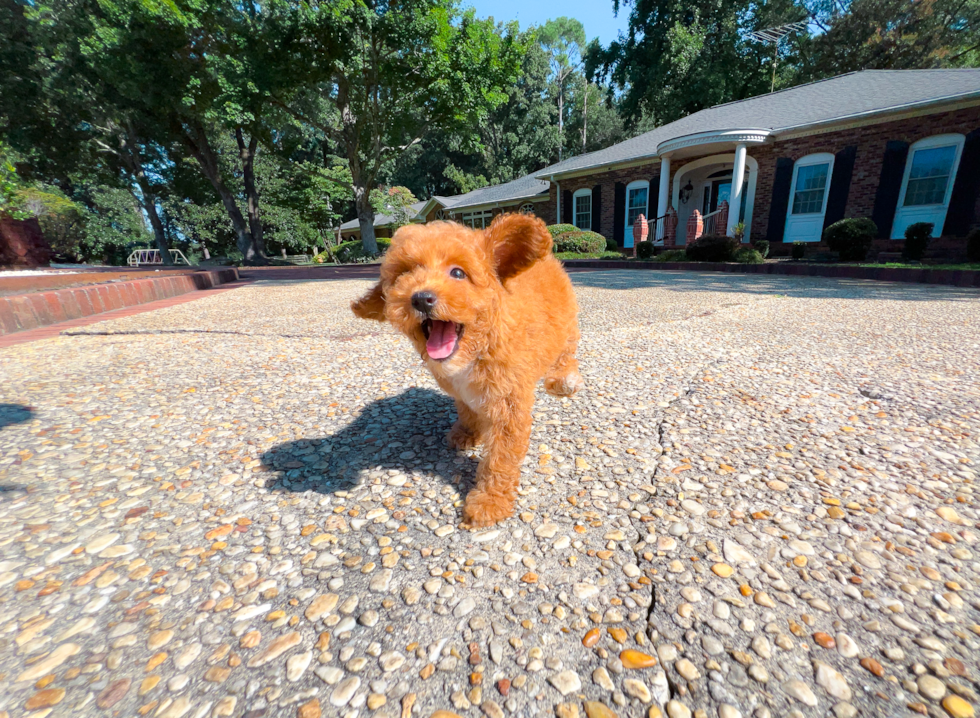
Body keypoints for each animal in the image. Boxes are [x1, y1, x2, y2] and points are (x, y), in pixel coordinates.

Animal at [352, 214, 580, 528]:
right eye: (404, 274)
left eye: (458, 273)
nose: (421, 298)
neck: (476, 350)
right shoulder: (459, 390)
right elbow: (467, 409)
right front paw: (467, 433)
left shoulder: (509, 405)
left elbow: (501, 457)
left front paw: (490, 501)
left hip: (567, 323)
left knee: (567, 348)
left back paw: (563, 379)